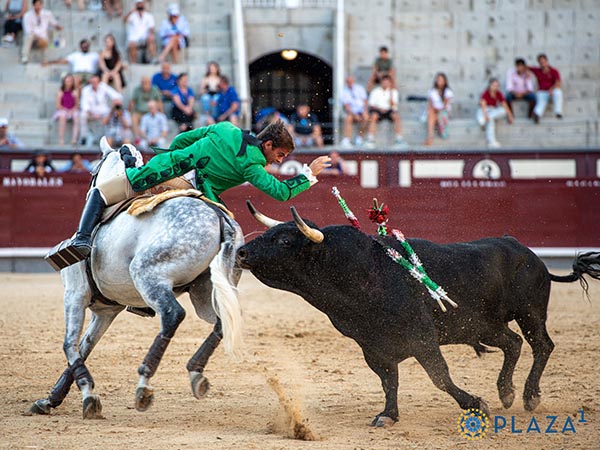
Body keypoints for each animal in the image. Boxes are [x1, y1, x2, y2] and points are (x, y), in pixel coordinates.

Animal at [28, 137, 244, 418]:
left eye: (92, 170)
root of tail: (219, 217)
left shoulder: (74, 294)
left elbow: (69, 344)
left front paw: (87, 396)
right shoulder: (107, 311)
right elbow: (85, 346)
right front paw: (51, 399)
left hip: (148, 276)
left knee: (173, 315)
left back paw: (144, 384)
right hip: (208, 292)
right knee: (220, 321)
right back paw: (196, 373)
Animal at [239, 206, 600, 428]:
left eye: (285, 239)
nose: (241, 252)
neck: (362, 272)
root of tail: (531, 255)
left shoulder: (422, 337)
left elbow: (439, 376)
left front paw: (475, 404)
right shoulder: (373, 346)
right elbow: (389, 381)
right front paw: (388, 415)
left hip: (530, 313)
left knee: (542, 346)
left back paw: (529, 395)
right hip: (484, 325)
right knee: (512, 344)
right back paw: (506, 392)